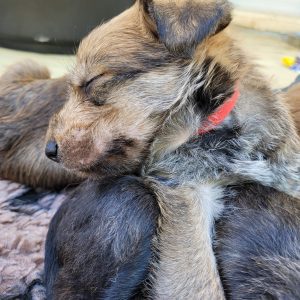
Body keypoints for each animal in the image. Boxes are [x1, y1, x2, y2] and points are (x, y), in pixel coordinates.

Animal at [44, 0, 300, 298]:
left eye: (93, 81)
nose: (49, 150)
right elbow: (199, 282)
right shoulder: (184, 192)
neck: (209, 125)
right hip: (130, 202)